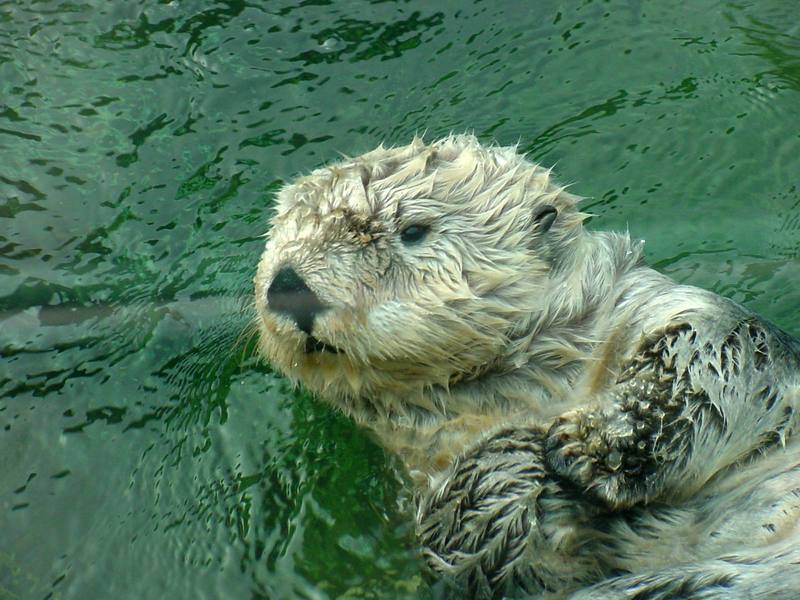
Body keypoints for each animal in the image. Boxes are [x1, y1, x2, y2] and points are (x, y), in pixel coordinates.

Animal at [255, 136, 800, 600]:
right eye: (279, 241)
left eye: (412, 231)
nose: (288, 284)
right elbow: (485, 554)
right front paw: (508, 459)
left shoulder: (668, 311)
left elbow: (709, 355)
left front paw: (591, 444)